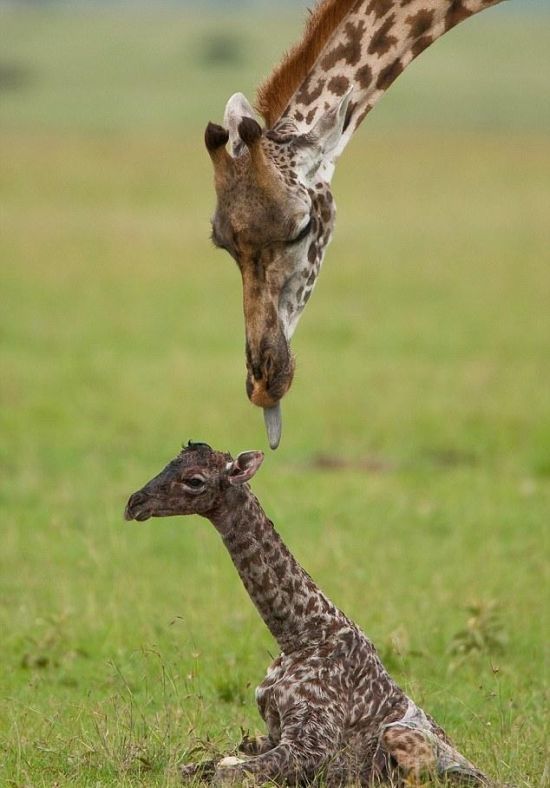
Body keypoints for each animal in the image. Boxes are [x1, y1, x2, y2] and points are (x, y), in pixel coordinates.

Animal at [125, 440, 492, 784]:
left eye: (195, 480)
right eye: (169, 464)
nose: (134, 503)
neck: (300, 633)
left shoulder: (312, 747)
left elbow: (225, 773)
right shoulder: (272, 733)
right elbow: (195, 766)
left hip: (401, 737)